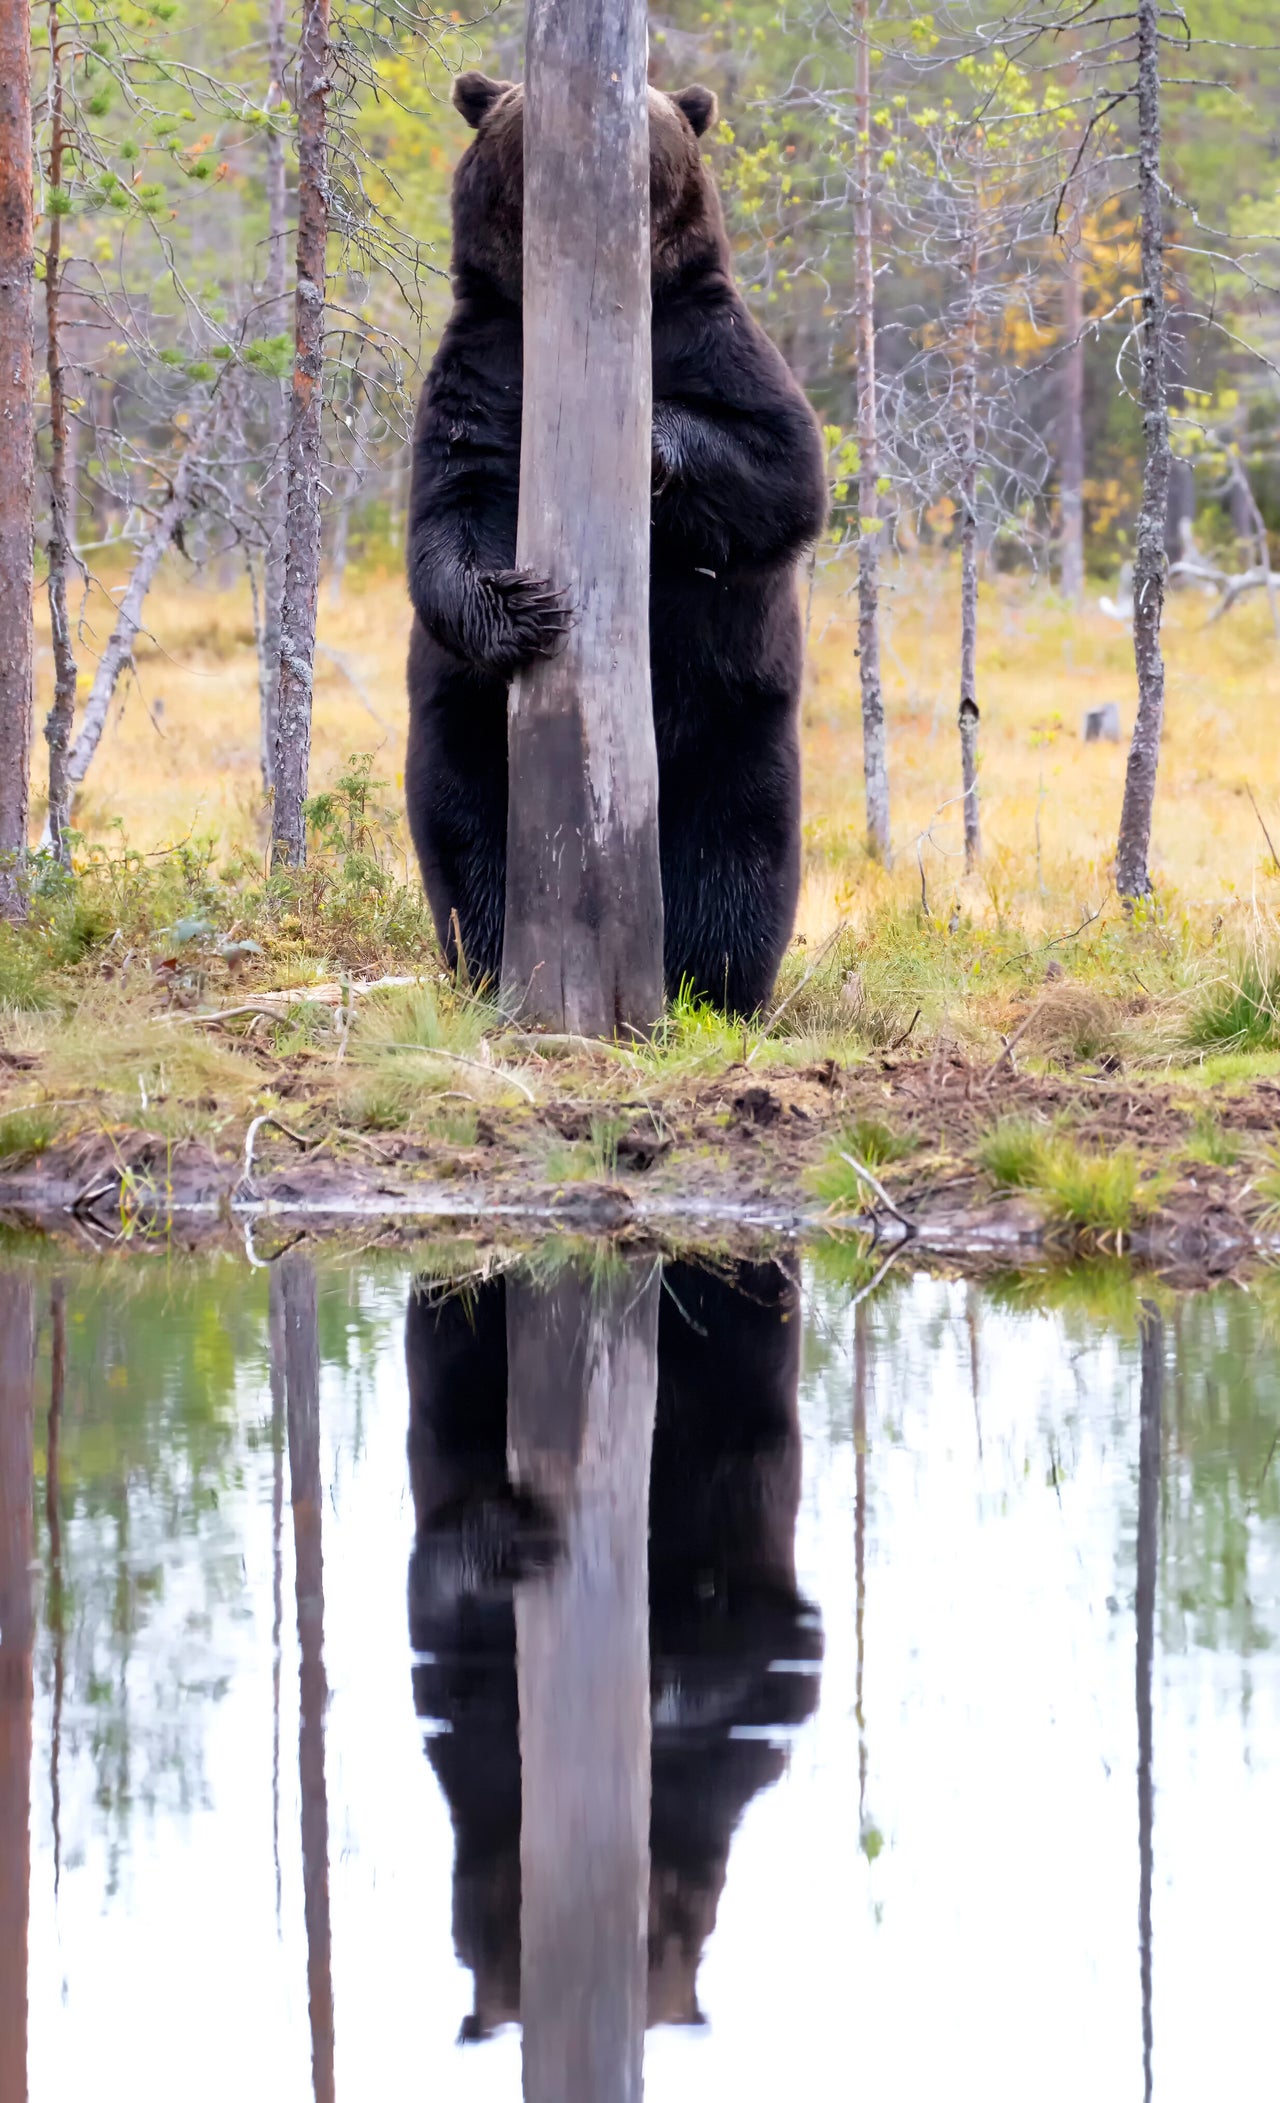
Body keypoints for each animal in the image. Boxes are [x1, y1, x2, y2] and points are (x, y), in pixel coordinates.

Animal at [409, 69, 828, 1013]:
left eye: (653, 109)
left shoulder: (711, 337)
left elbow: (783, 468)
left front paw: (653, 443)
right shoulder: (486, 365)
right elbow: (450, 509)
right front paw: (521, 606)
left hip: (734, 722)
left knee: (737, 857)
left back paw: (714, 986)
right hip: (464, 729)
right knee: (466, 835)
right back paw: (492, 960)